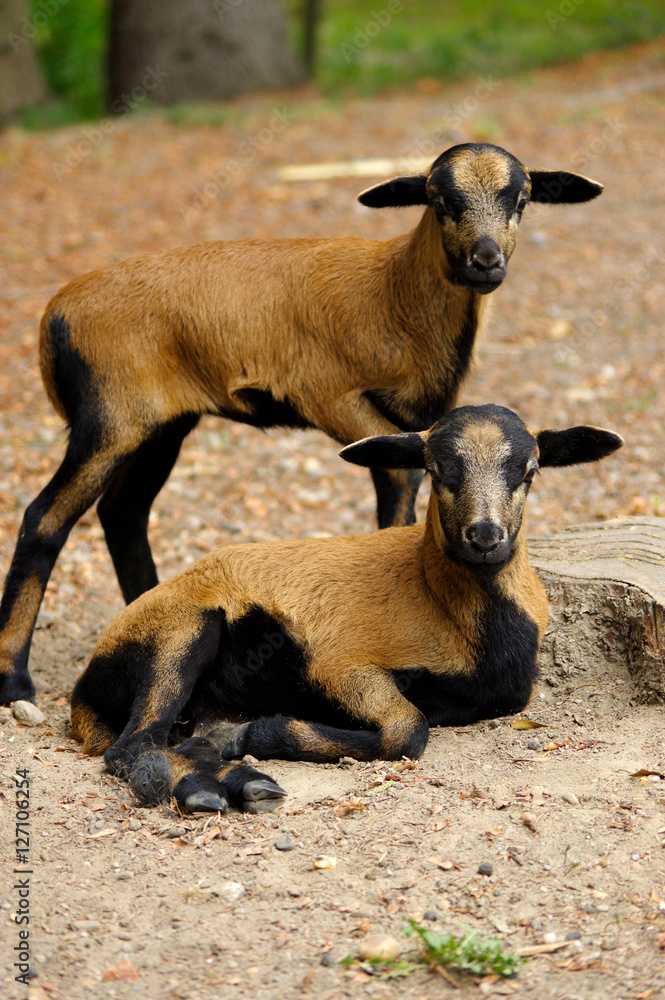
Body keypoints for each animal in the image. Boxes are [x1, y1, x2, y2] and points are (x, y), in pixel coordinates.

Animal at [0, 141, 604, 705]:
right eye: (438, 201)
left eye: (521, 200)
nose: (486, 261)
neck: (394, 293)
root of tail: (52, 316)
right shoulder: (330, 396)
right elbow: (400, 478)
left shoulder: (417, 419)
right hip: (109, 419)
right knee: (43, 518)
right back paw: (14, 681)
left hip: (161, 425)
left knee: (123, 512)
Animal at [70, 404, 623, 813]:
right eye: (436, 470)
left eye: (530, 472)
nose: (485, 538)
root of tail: (83, 689)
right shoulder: (340, 665)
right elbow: (408, 731)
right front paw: (253, 732)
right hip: (182, 630)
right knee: (135, 745)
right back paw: (215, 785)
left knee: (166, 742)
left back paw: (232, 781)